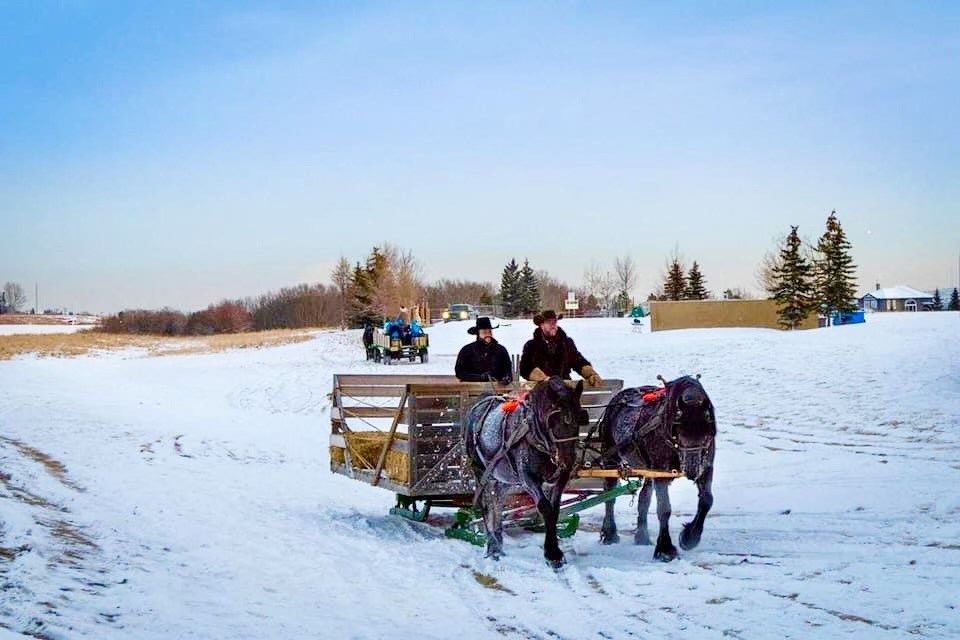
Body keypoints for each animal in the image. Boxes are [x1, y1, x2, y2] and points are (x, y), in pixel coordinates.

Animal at [464, 378, 588, 568]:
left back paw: (498, 541)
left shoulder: (559, 478)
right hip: (480, 470)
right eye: (553, 420)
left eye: (579, 418)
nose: (568, 460)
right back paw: (492, 545)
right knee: (485, 506)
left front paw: (554, 551)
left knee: (497, 503)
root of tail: (480, 403)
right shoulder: (528, 478)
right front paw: (552, 554)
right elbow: (545, 508)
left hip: (503, 478)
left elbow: (554, 510)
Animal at [596, 376, 716, 560]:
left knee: (643, 498)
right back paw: (610, 533)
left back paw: (642, 536)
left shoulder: (707, 467)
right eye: (678, 430)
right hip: (610, 457)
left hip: (646, 469)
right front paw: (665, 549)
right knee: (609, 495)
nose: (692, 469)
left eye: (706, 432)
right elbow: (664, 508)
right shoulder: (661, 472)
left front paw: (690, 538)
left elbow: (706, 501)